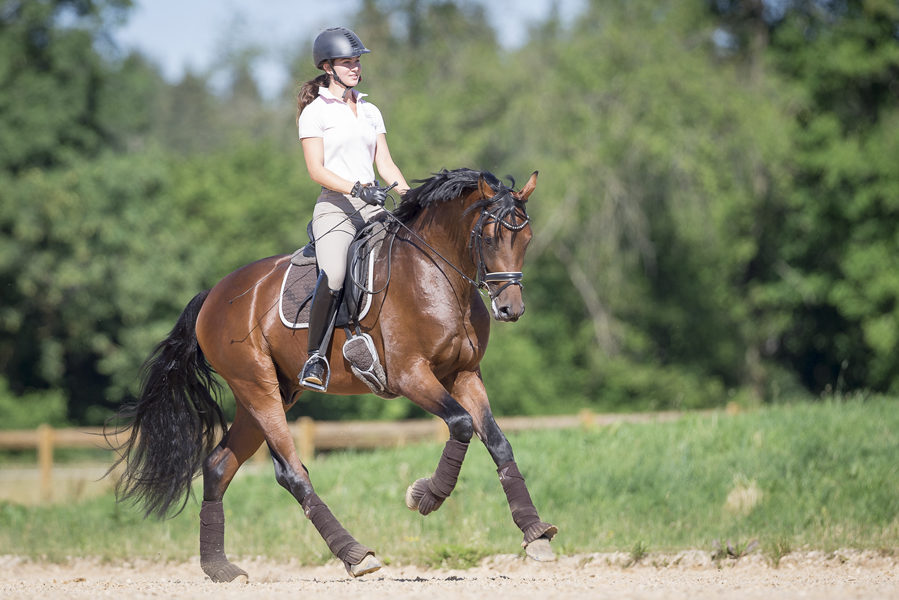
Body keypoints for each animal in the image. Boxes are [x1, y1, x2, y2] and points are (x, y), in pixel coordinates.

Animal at [110, 168, 560, 580]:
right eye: (489, 237)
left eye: (526, 239)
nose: (510, 309)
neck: (438, 276)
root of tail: (214, 295)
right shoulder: (410, 376)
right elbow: (462, 424)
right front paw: (424, 496)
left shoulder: (464, 374)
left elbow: (497, 441)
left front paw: (535, 533)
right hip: (258, 388)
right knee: (292, 473)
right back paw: (356, 555)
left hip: (267, 395)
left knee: (219, 466)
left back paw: (219, 568)